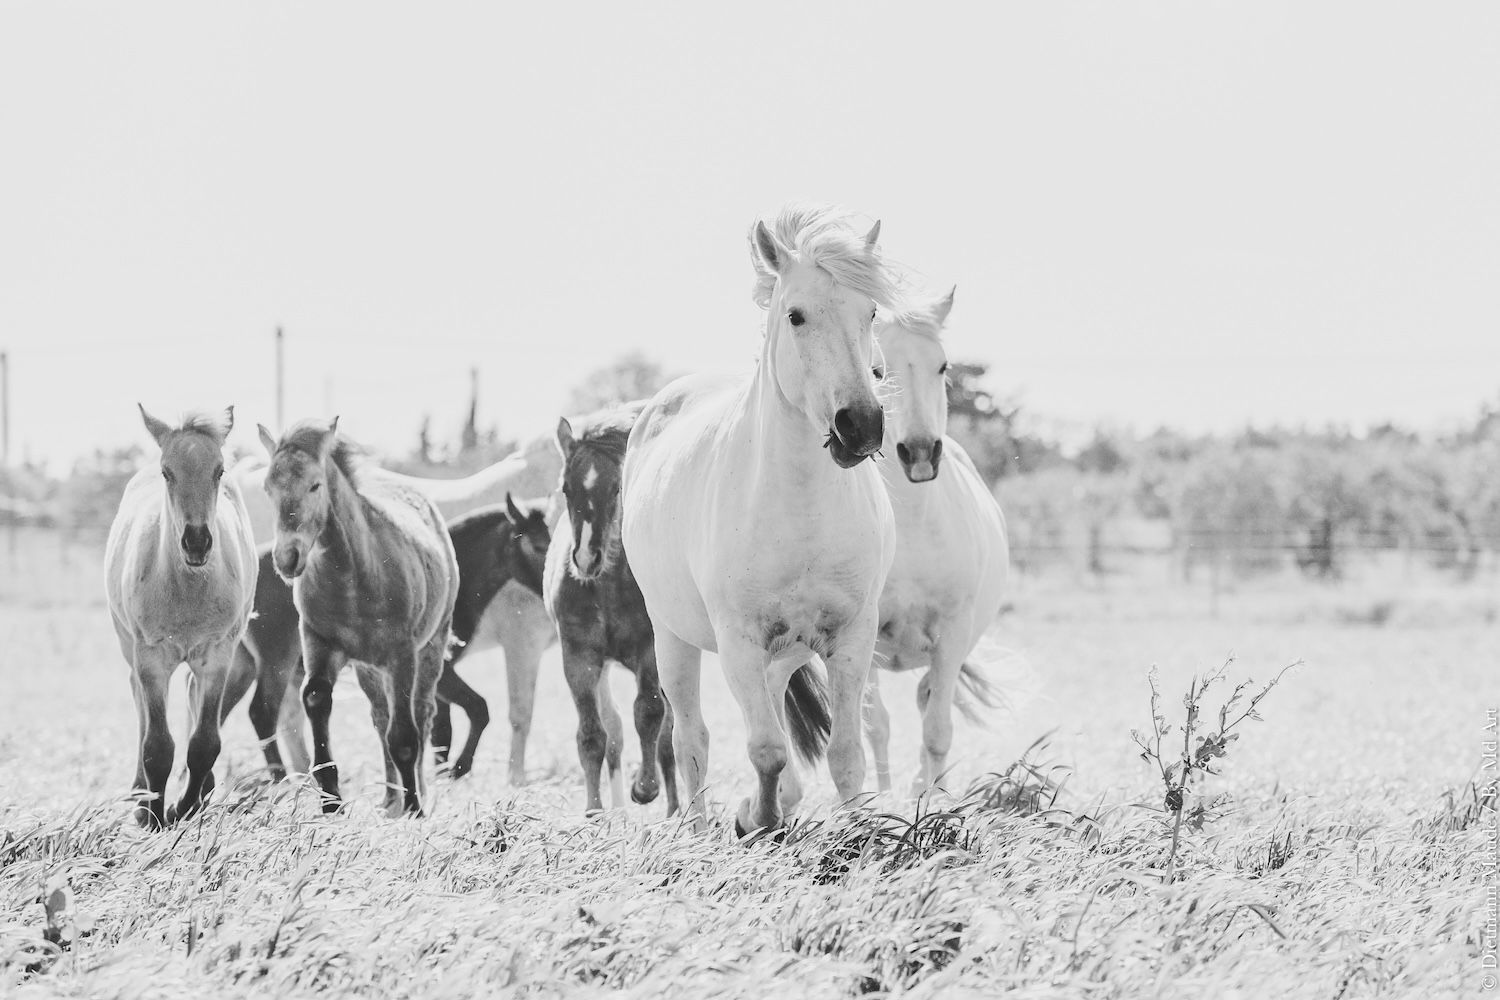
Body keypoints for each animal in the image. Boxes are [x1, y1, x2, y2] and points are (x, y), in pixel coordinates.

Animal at [105, 407, 258, 827]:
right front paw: (153, 816)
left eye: (219, 471)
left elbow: (205, 743)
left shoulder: (218, 655)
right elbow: (157, 745)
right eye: (167, 472)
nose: (197, 541)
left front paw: (182, 808)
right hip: (129, 646)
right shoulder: (151, 657)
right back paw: (140, 794)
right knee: (139, 701)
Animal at [549, 401, 678, 815]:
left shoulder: (650, 653)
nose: (585, 558)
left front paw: (645, 787)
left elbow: (649, 714)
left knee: (669, 735)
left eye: (616, 486)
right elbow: (593, 735)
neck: (606, 587)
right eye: (566, 487)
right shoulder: (579, 658)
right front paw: (593, 811)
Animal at [624, 205, 900, 839]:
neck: (799, 510)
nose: (860, 426)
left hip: (786, 653)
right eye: (795, 315)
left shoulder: (850, 638)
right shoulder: (739, 643)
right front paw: (760, 820)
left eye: (871, 312)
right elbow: (765, 750)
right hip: (672, 637)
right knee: (691, 738)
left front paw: (855, 834)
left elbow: (845, 753)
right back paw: (699, 827)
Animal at [864, 290, 1014, 797]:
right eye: (877, 370)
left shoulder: (952, 634)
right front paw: (880, 800)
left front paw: (932, 800)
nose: (920, 451)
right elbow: (876, 725)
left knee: (927, 700)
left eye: (942, 365)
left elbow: (937, 730)